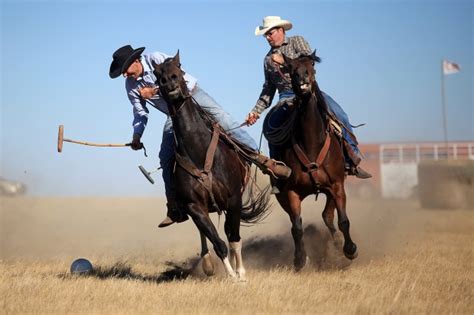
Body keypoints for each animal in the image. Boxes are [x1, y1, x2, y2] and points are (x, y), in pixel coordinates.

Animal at [153, 51, 268, 282]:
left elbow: (234, 238)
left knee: (230, 232)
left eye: (179, 67)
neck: (199, 150)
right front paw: (231, 275)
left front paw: (240, 273)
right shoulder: (194, 206)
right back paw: (207, 264)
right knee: (206, 234)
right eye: (157, 74)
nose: (170, 81)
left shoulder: (233, 199)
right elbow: (218, 242)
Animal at [272, 52, 358, 272]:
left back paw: (338, 243)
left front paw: (350, 249)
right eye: (290, 67)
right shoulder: (291, 193)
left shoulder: (337, 184)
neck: (311, 143)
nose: (301, 77)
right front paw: (300, 259)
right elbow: (297, 228)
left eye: (311, 64)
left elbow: (343, 220)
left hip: (332, 188)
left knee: (328, 215)